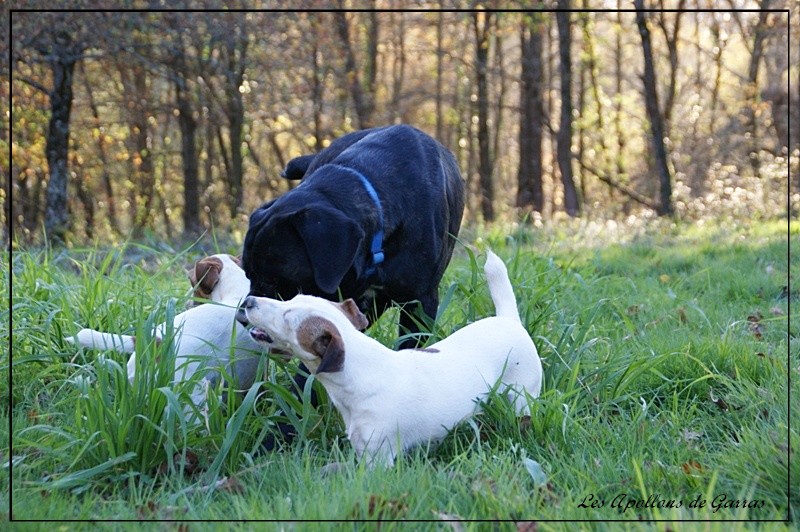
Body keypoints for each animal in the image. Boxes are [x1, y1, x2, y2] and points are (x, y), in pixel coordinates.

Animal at [234, 249, 540, 466]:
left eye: (288, 317)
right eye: (292, 299)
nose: (248, 302)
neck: (359, 373)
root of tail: (509, 320)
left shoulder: (378, 456)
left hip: (522, 397)